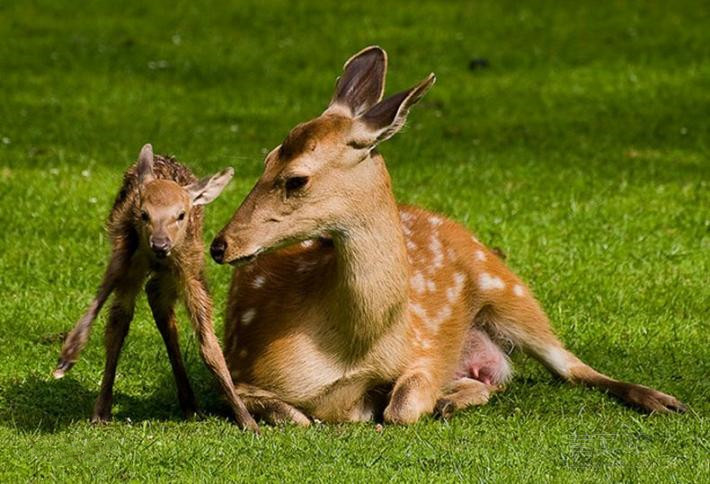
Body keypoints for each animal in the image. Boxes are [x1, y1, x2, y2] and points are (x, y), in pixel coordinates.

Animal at [209, 45, 688, 424]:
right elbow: (298, 416)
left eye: (296, 179)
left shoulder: (422, 351)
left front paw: (425, 398)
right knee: (506, 377)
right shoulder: (243, 373)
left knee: (571, 366)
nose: (220, 244)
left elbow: (403, 406)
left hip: (510, 289)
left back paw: (664, 401)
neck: (346, 350)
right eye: (268, 158)